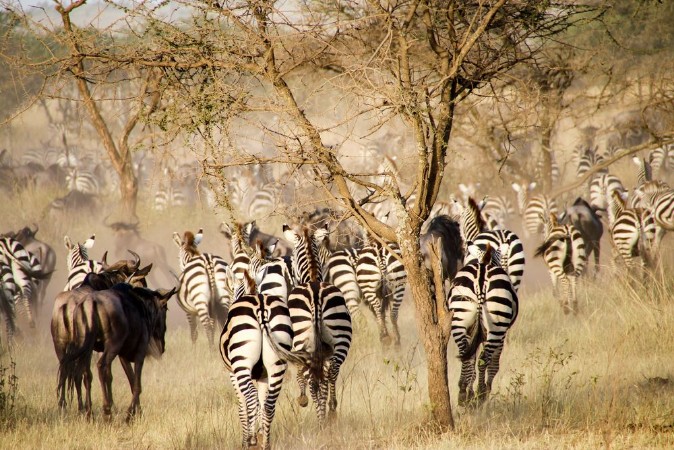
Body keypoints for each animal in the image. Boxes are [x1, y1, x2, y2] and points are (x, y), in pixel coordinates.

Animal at [219, 271, 293, 450]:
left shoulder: (232, 374)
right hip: (277, 363)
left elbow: (242, 407)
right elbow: (261, 403)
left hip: (241, 363)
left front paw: (246, 439)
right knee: (269, 404)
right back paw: (266, 443)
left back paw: (251, 439)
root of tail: (261, 306)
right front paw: (260, 433)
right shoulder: (263, 376)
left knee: (251, 398)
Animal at [282, 224, 352, 424]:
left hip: (302, 343)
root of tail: (314, 293)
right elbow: (326, 375)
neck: (312, 277)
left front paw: (303, 399)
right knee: (332, 371)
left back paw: (322, 418)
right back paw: (330, 412)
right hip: (341, 337)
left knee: (312, 377)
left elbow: (301, 375)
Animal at [447, 243, 518, 406]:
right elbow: (494, 364)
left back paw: (463, 393)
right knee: (484, 359)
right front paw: (484, 389)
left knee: (466, 355)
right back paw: (481, 394)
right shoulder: (500, 335)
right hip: (497, 326)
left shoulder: (473, 332)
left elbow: (472, 358)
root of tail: (482, 274)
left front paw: (469, 390)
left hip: (459, 318)